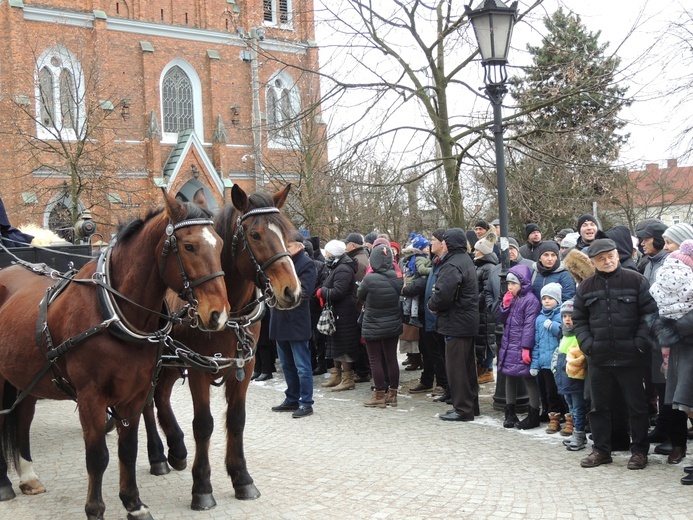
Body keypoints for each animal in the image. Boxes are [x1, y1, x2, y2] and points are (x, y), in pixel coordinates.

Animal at [0, 192, 230, 520]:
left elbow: (128, 451)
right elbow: (97, 456)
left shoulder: (134, 395)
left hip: (29, 378)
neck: (114, 312)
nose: (218, 314)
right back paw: (4, 484)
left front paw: (133, 502)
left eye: (221, 244)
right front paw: (95, 508)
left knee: (22, 418)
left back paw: (28, 476)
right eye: (189, 246)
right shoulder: (91, 397)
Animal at [141, 185, 300, 510]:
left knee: (161, 397)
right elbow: (203, 424)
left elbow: (236, 421)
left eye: (287, 231)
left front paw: (242, 478)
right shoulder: (198, 368)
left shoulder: (244, 367)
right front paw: (202, 486)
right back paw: (158, 454)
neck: (232, 314)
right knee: (147, 402)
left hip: (172, 365)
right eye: (255, 234)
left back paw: (176, 448)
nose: (292, 290)